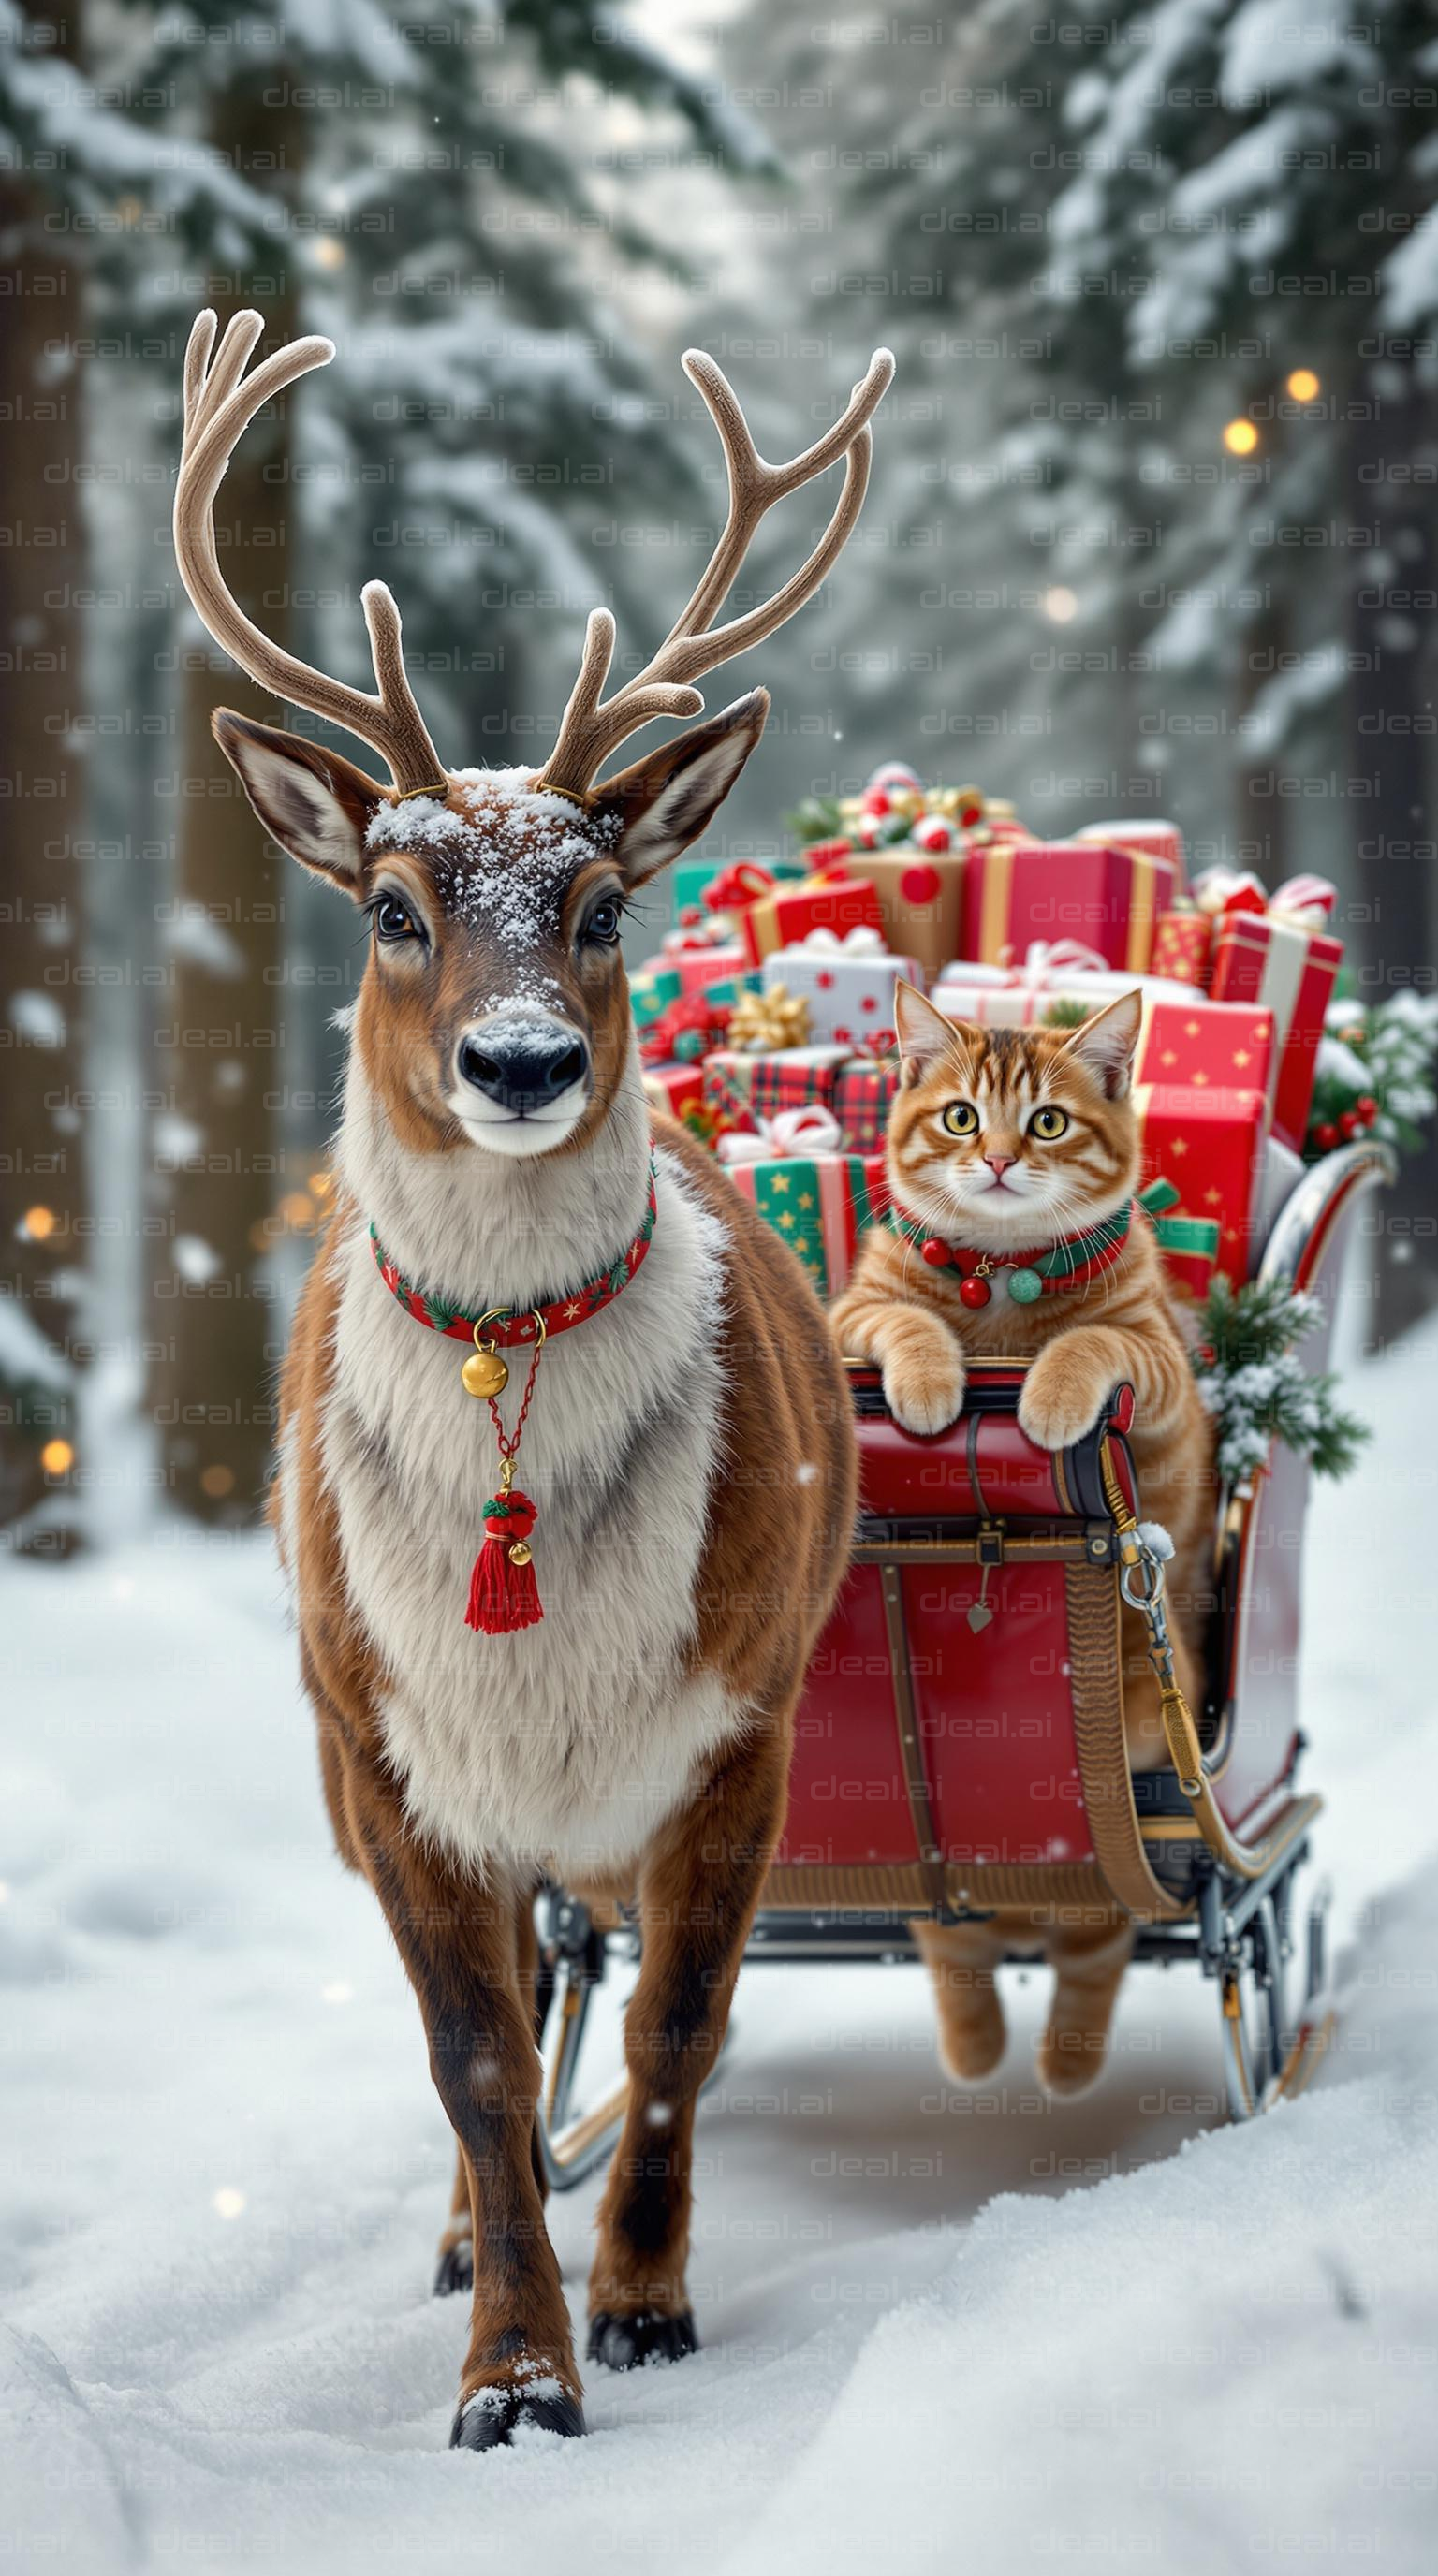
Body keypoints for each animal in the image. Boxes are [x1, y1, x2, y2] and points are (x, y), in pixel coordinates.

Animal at [834, 984, 1216, 2091]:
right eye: (963, 1117)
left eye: (1046, 1122)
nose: (1001, 1158)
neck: (1003, 1287)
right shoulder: (845, 1317)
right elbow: (902, 1326)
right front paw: (929, 1383)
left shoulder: (1158, 1365)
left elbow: (1091, 1339)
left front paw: (1046, 1394)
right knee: (951, 1934)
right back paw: (975, 2052)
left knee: (1104, 1927)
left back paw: (1064, 2064)